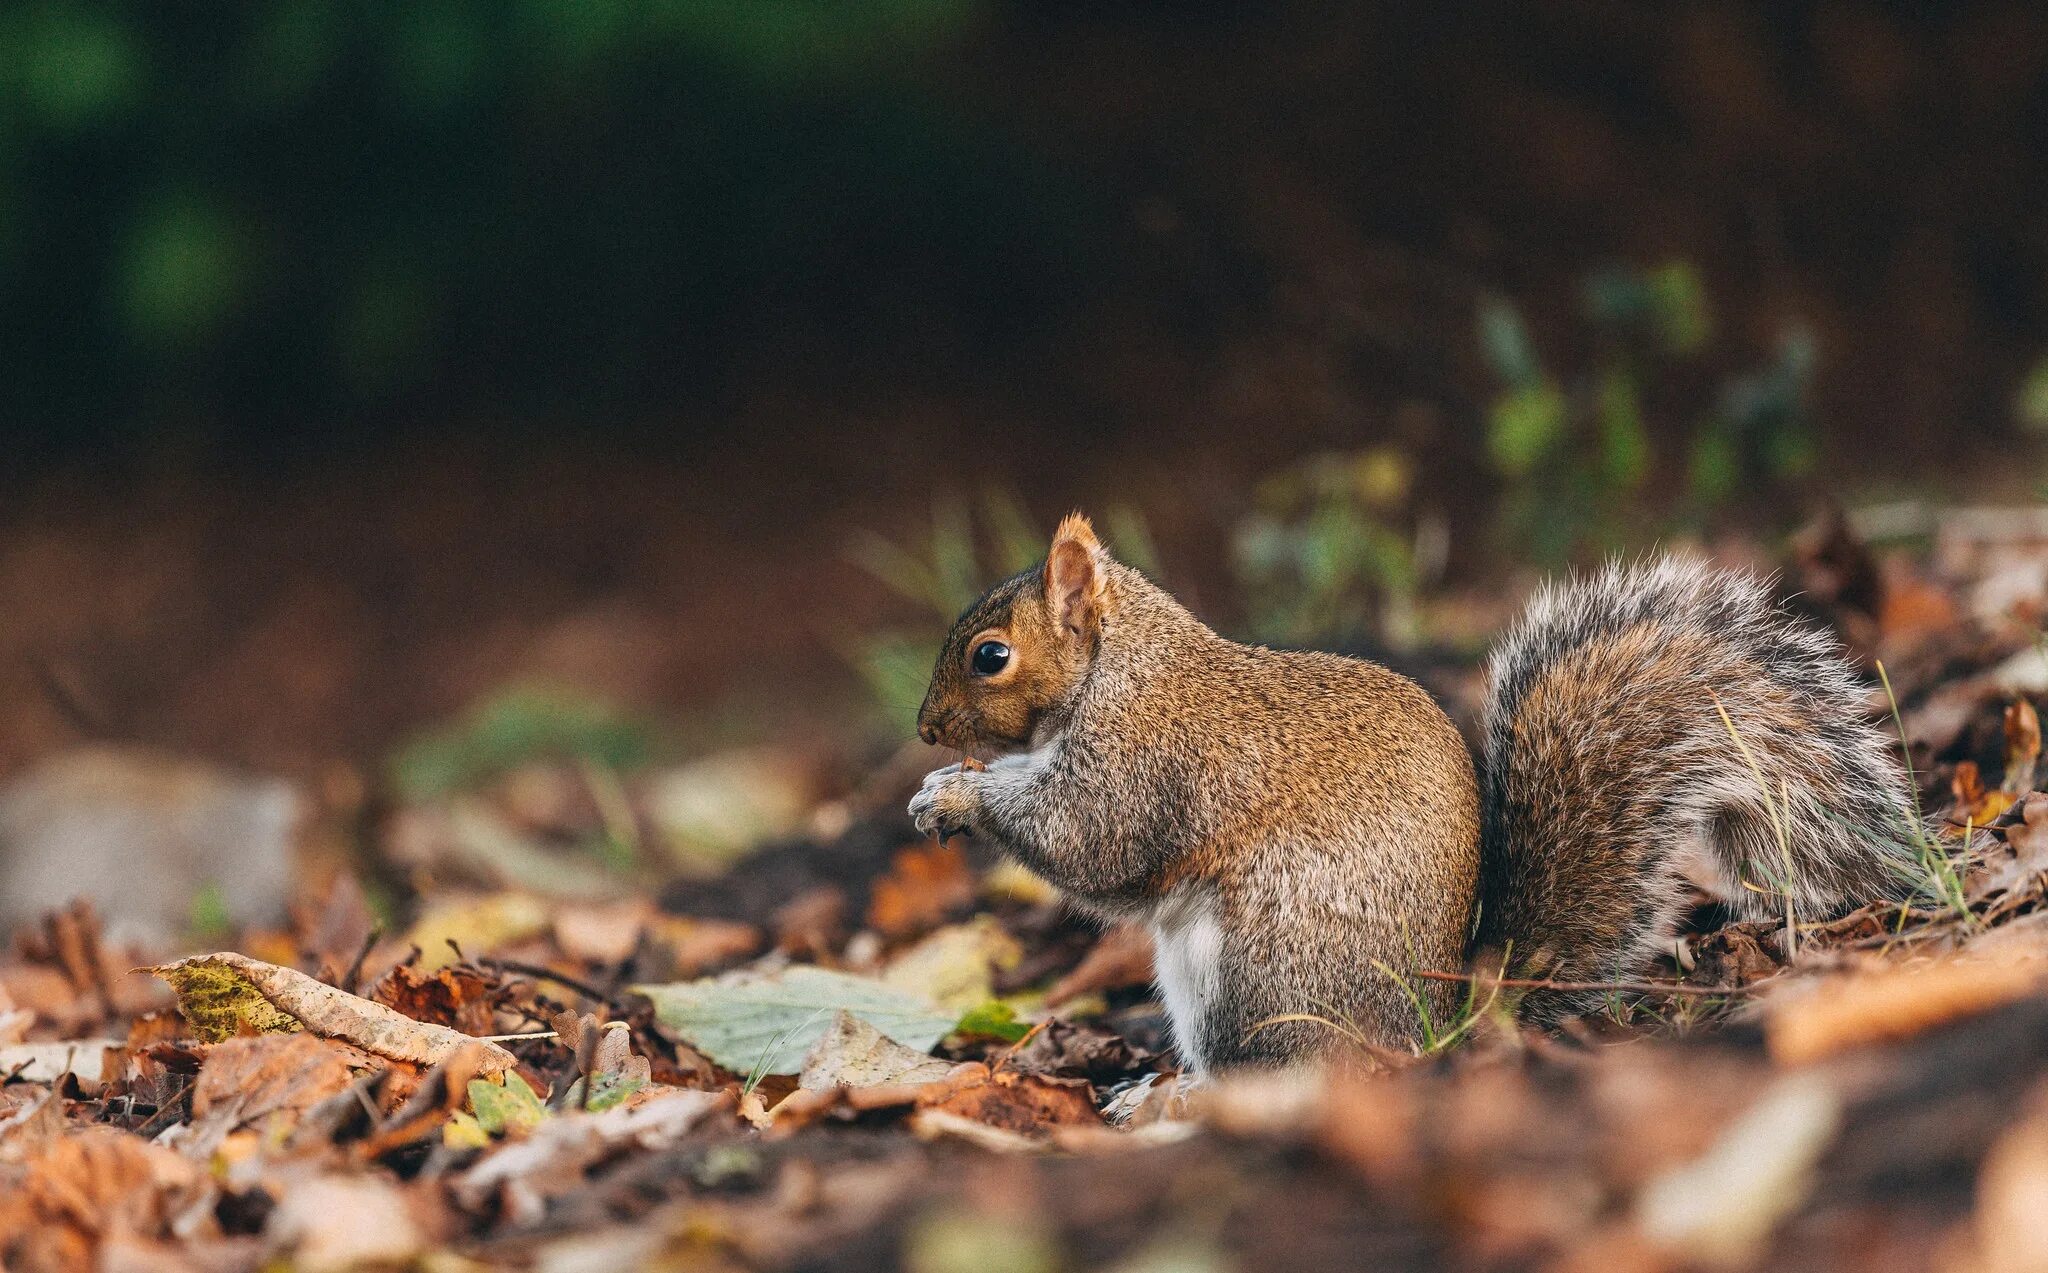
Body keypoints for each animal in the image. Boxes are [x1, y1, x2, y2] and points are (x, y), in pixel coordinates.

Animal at [913, 513, 1916, 1072]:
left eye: (991, 655)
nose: (924, 728)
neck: (1120, 673)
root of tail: (1436, 1024)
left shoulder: (1143, 760)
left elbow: (1089, 841)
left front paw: (959, 798)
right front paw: (939, 785)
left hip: (1259, 976)